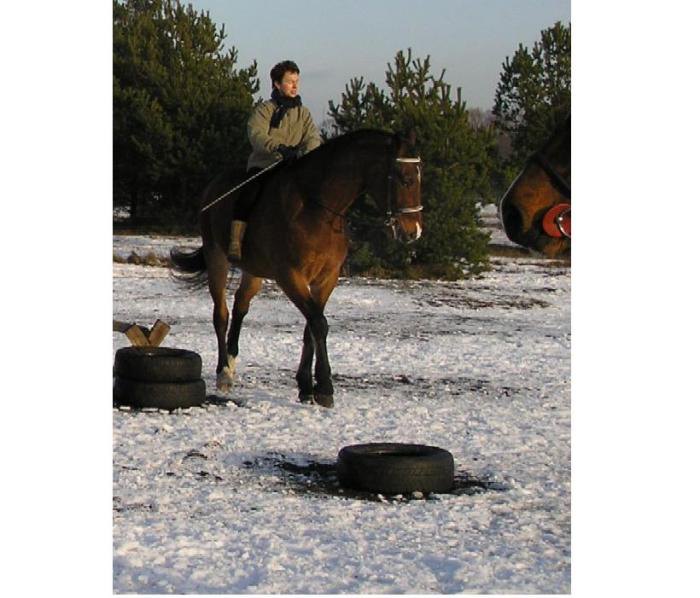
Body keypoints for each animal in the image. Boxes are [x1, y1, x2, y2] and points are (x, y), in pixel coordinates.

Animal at [171, 129, 422, 410]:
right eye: (405, 179)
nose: (413, 232)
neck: (318, 211)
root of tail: (213, 187)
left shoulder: (326, 279)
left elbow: (311, 327)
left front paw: (305, 387)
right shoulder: (290, 276)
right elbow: (318, 324)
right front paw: (324, 388)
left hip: (254, 270)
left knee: (240, 306)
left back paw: (232, 363)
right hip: (217, 259)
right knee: (221, 315)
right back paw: (224, 372)